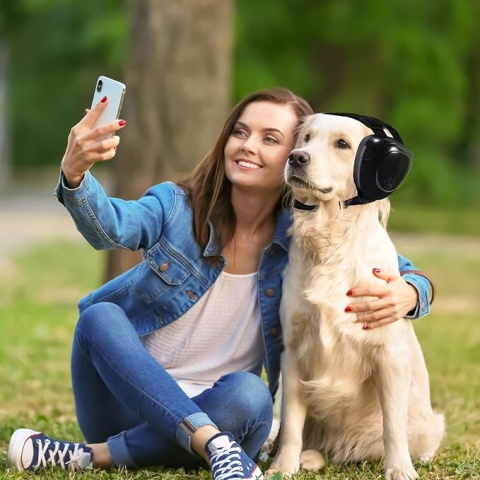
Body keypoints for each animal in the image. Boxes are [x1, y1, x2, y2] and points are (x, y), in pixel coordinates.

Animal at [268, 113, 444, 480]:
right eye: (306, 138)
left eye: (342, 144)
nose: (296, 157)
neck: (330, 237)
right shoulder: (293, 350)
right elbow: (291, 423)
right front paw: (282, 467)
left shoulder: (389, 354)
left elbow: (392, 426)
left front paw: (399, 470)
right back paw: (308, 457)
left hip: (429, 426)